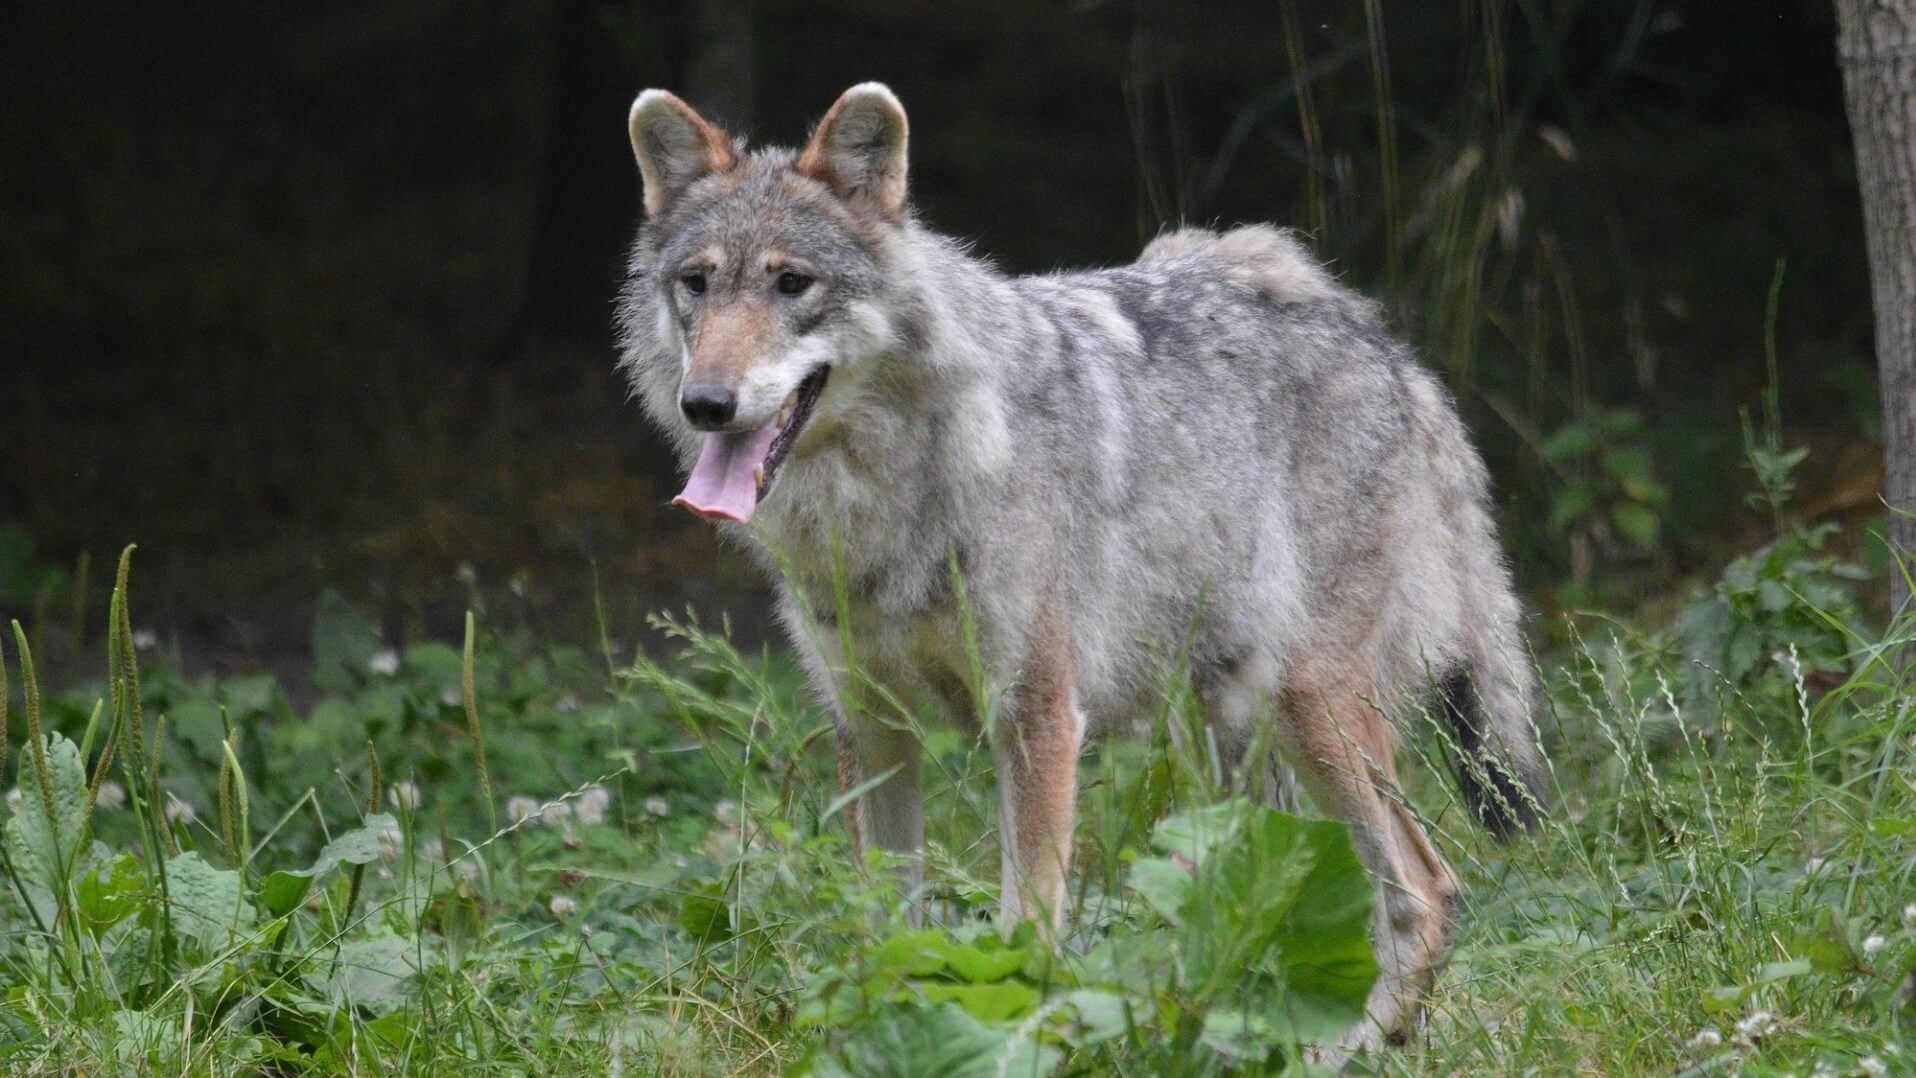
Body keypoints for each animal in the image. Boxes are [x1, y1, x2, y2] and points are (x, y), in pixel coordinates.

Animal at [620, 86, 1548, 1056]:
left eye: (791, 283)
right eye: (698, 284)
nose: (707, 402)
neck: (888, 498)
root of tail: (1384, 344)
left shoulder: (1035, 719)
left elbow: (1025, 931)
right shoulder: (872, 730)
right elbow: (883, 931)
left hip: (1309, 707)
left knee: (1426, 887)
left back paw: (1348, 1052)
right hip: (1224, 739)